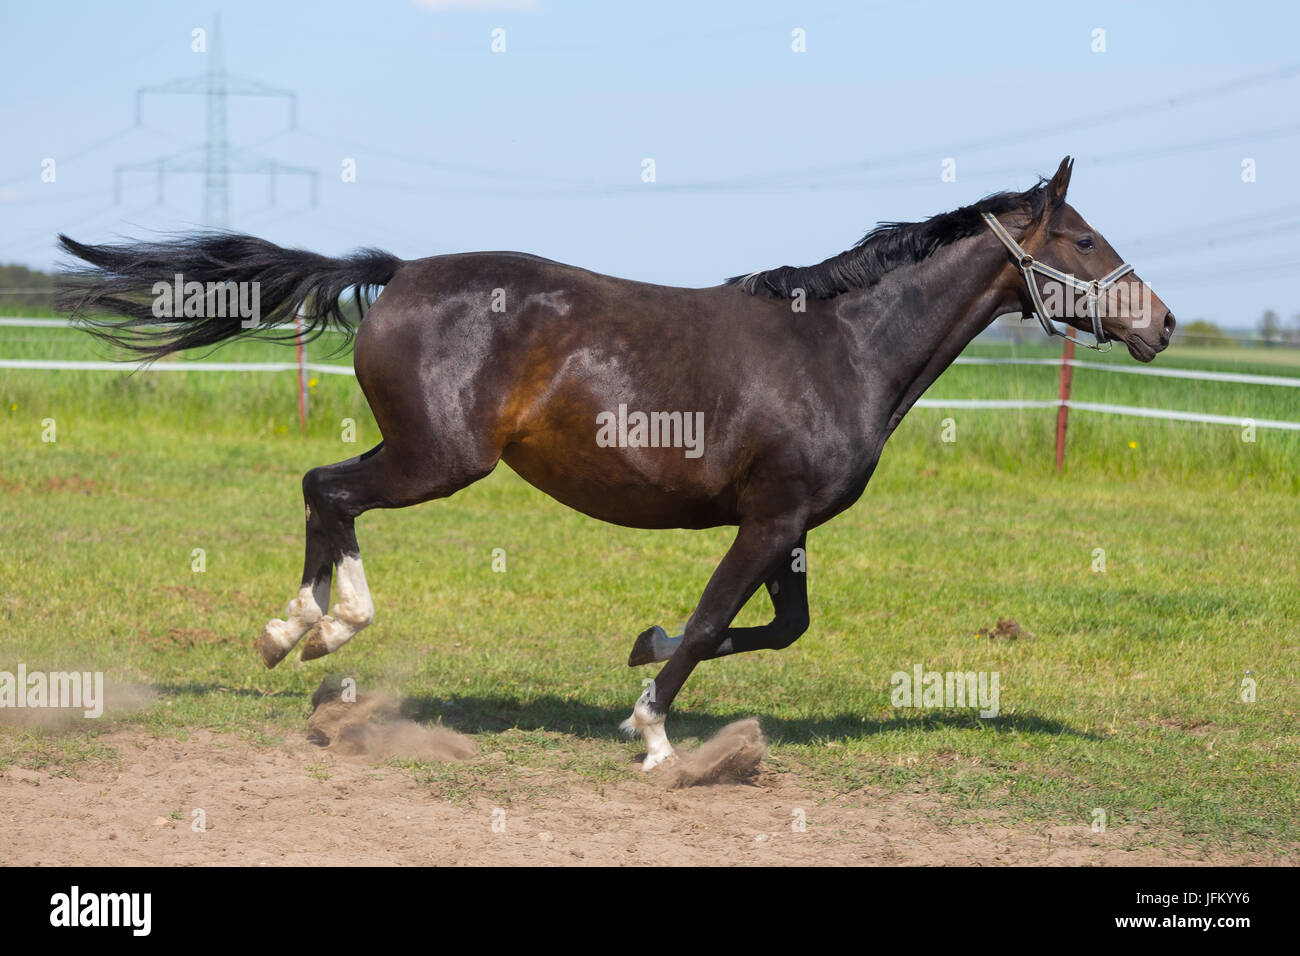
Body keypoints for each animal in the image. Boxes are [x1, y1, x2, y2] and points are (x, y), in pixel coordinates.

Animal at [59, 156, 1174, 769]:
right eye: (1081, 239)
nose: (1160, 322)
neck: (843, 348)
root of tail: (401, 272)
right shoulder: (768, 520)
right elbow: (718, 621)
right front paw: (653, 733)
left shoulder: (790, 526)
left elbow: (775, 627)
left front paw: (641, 645)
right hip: (438, 459)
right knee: (326, 491)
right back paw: (311, 627)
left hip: (420, 451)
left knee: (325, 495)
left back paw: (309, 637)